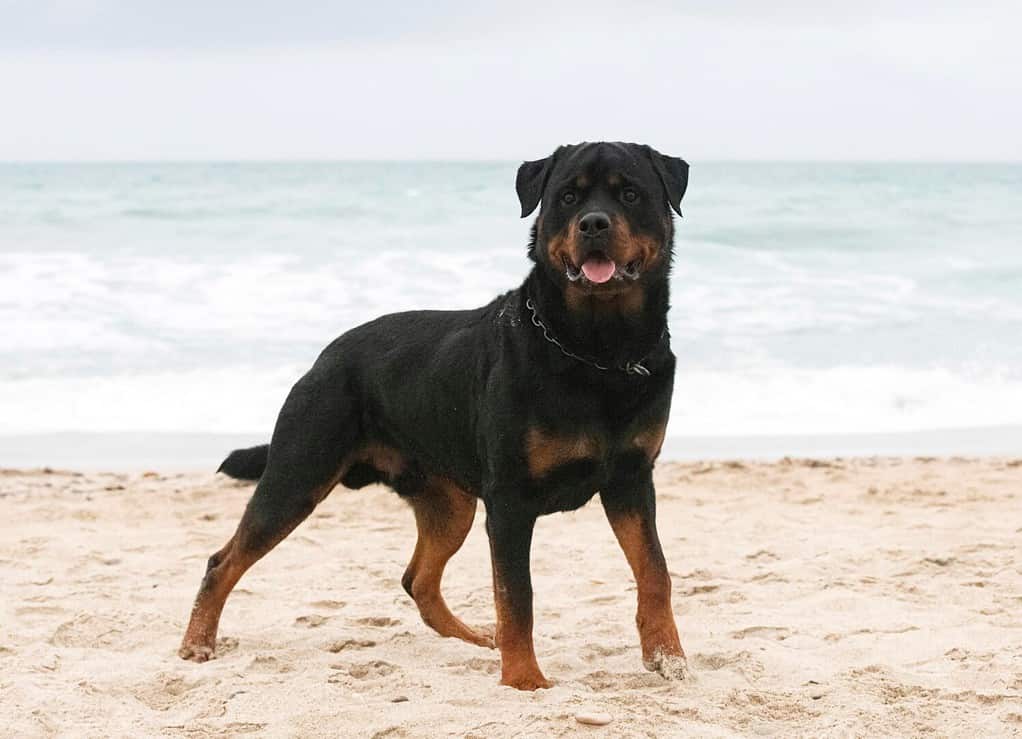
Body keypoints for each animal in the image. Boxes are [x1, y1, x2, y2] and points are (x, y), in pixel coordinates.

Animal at [179, 142, 690, 690]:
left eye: (631, 194)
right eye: (568, 197)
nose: (593, 223)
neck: (598, 351)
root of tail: (325, 357)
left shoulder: (631, 480)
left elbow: (655, 571)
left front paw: (667, 656)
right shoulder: (510, 502)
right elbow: (517, 596)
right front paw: (525, 680)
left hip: (449, 502)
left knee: (417, 579)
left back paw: (476, 637)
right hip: (298, 474)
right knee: (224, 560)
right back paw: (197, 643)